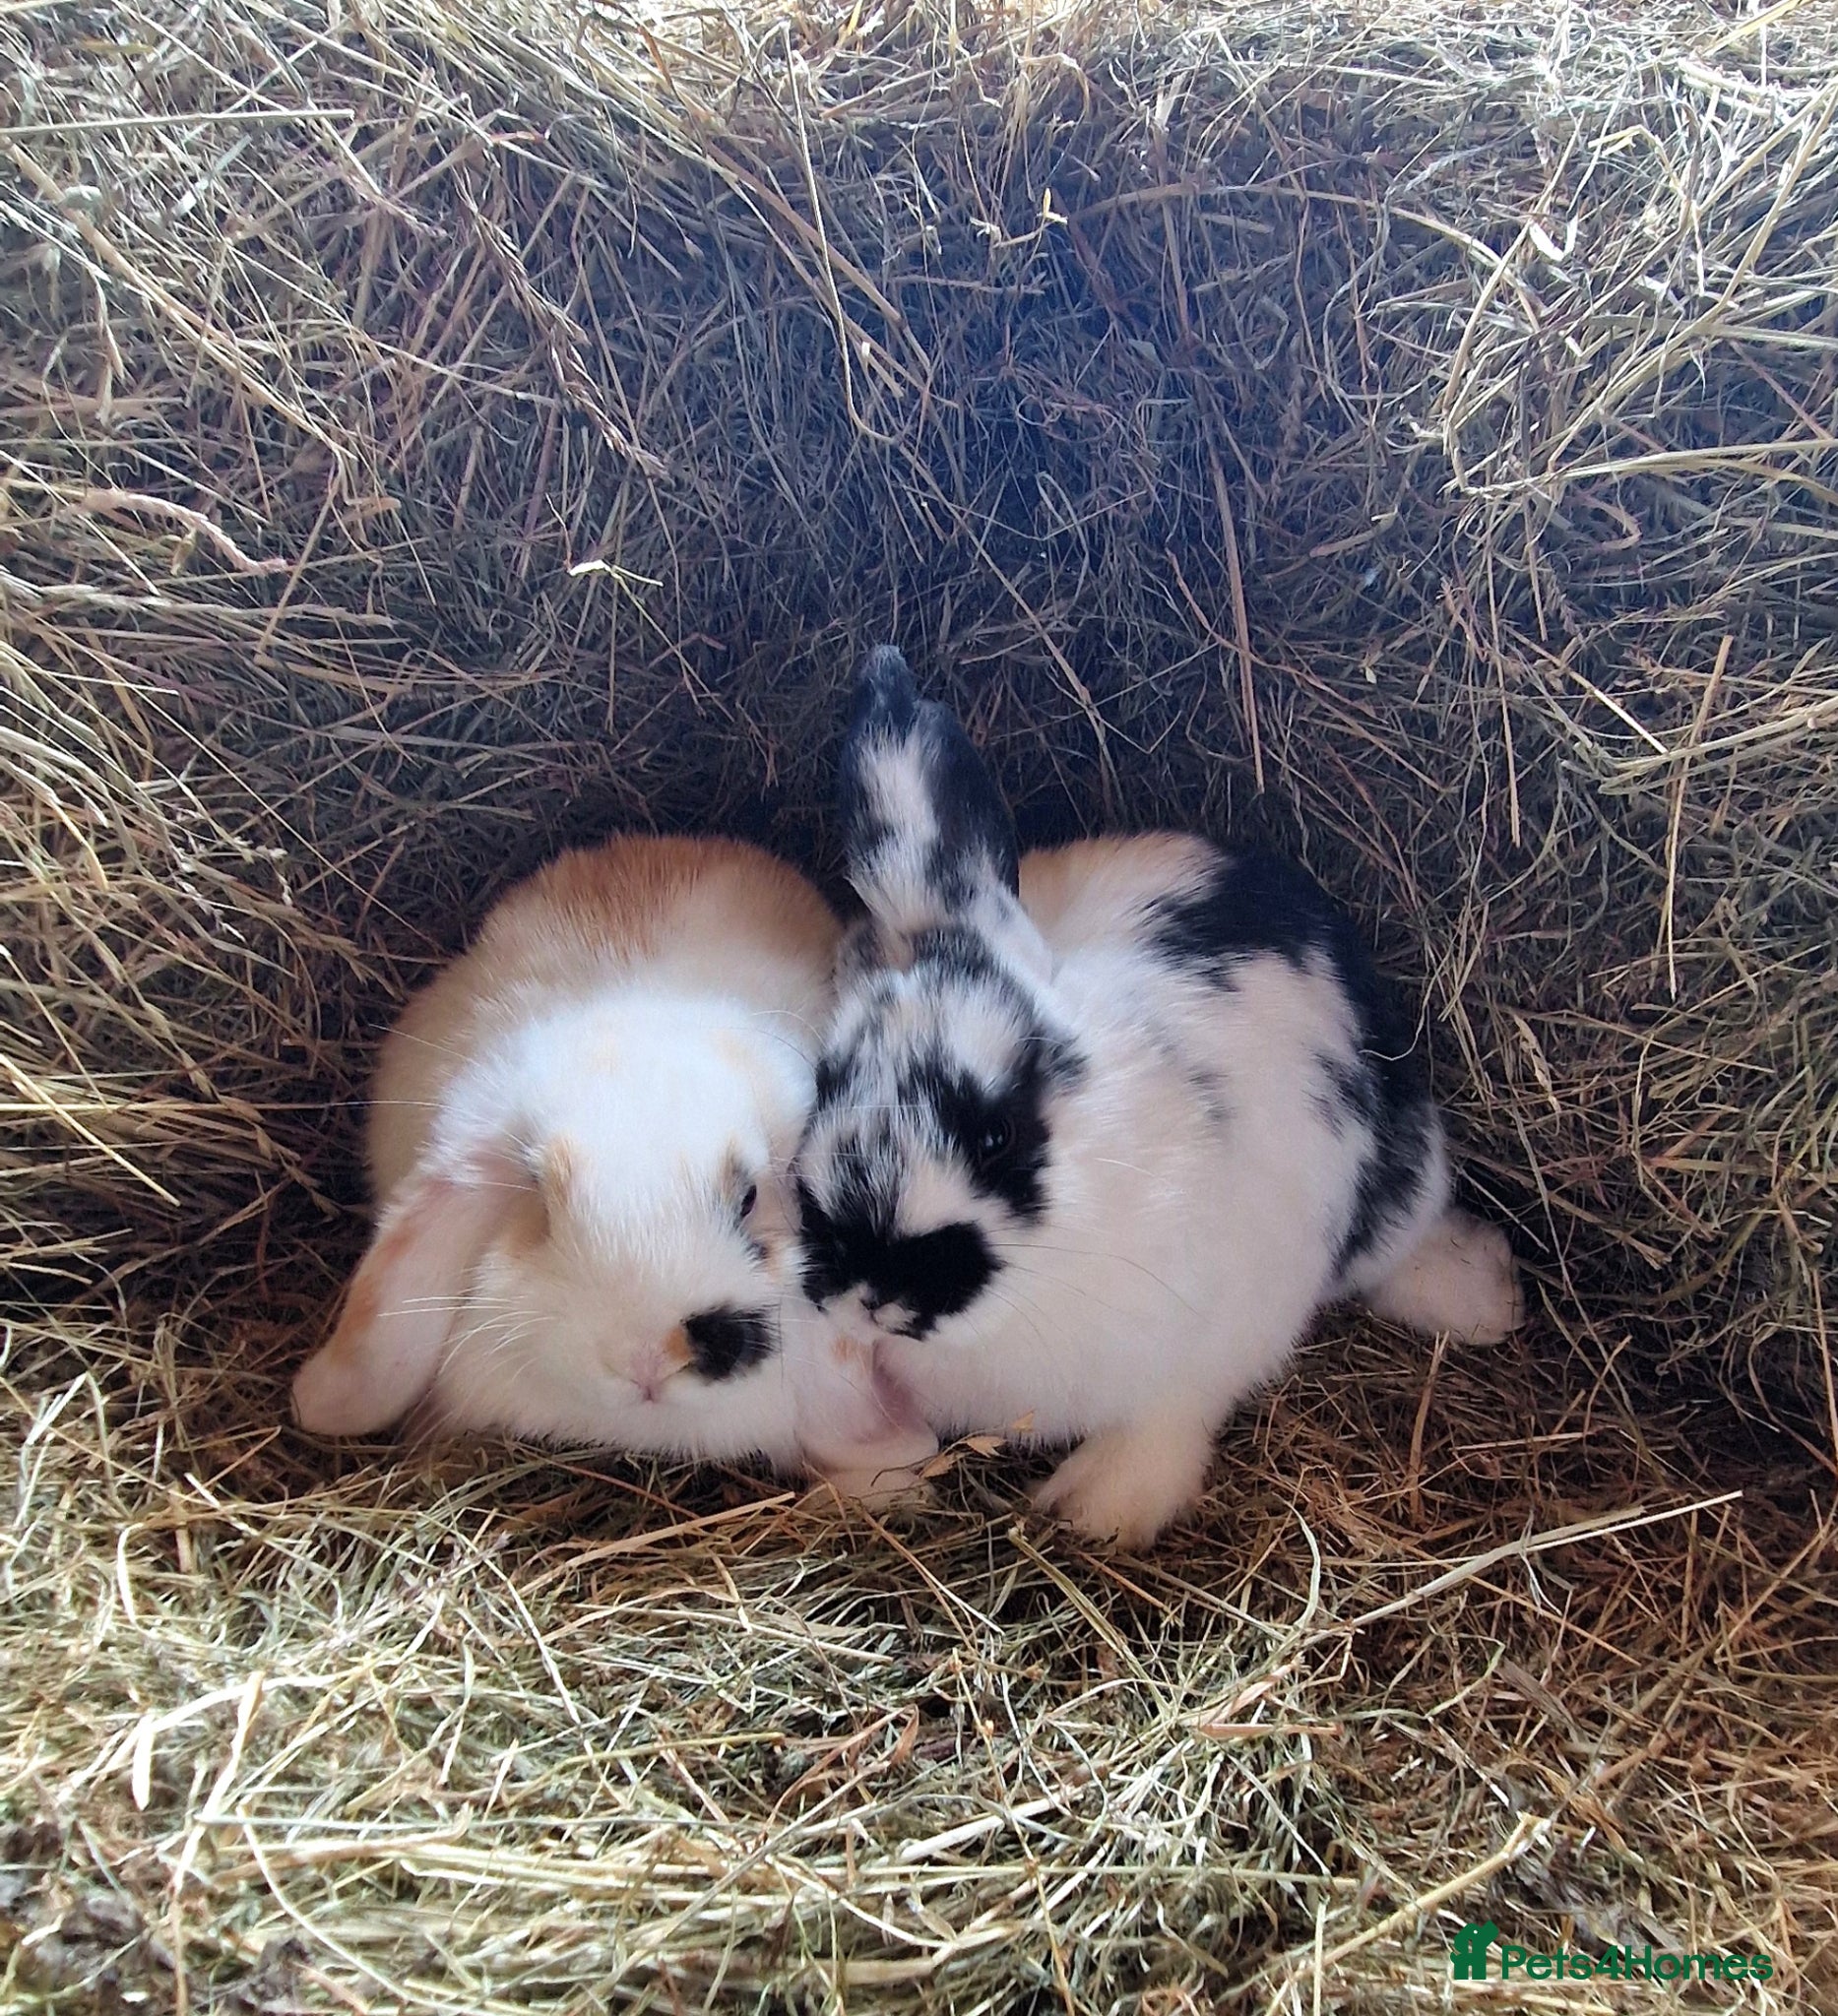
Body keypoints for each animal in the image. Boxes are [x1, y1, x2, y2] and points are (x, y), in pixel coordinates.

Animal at [789, 647, 1523, 1546]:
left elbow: (1166, 1421)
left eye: (998, 1135)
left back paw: (1490, 1295)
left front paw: (1095, 1510)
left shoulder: (1220, 1339)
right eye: (825, 1083)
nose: (872, 1293)